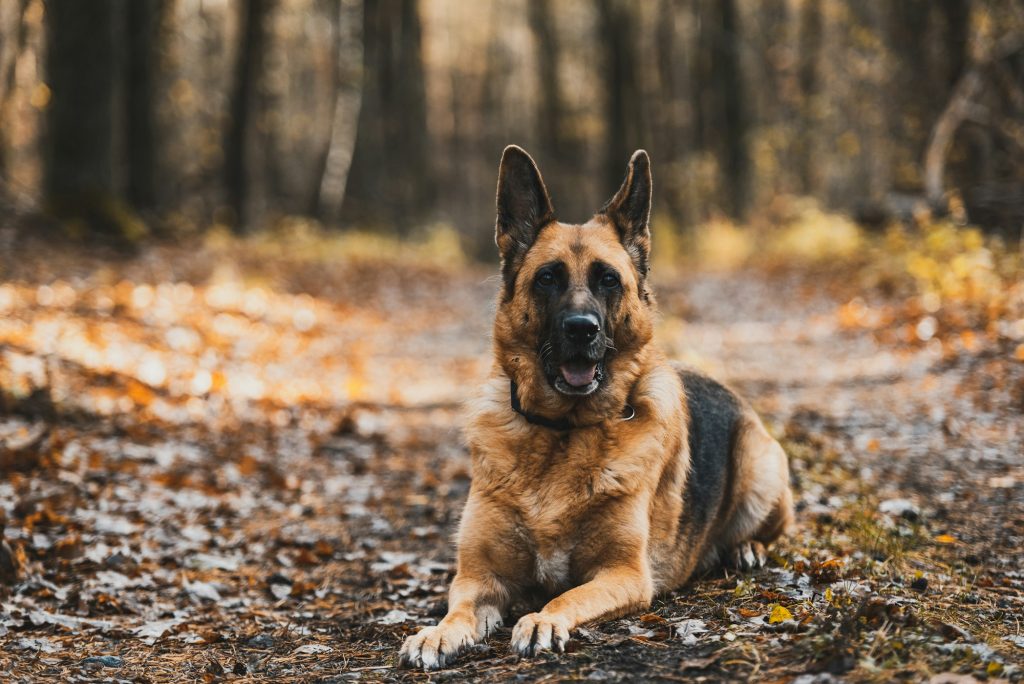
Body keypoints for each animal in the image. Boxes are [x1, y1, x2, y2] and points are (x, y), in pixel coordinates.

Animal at [397, 148, 790, 667]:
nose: (582, 329)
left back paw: (746, 548)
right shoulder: (478, 578)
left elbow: (566, 596)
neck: (561, 433)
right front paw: (436, 633)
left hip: (761, 471)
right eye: (548, 278)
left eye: (608, 279)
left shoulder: (624, 574)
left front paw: (541, 620)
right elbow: (457, 611)